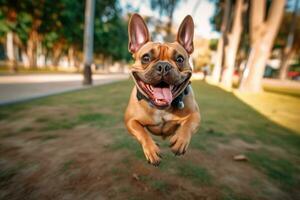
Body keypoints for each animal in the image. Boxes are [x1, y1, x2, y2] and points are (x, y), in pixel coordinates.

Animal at [124, 13, 202, 166]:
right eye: (146, 57)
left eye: (180, 59)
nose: (164, 66)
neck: (161, 108)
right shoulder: (130, 120)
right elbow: (141, 132)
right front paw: (151, 149)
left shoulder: (196, 114)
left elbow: (189, 123)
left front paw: (180, 140)